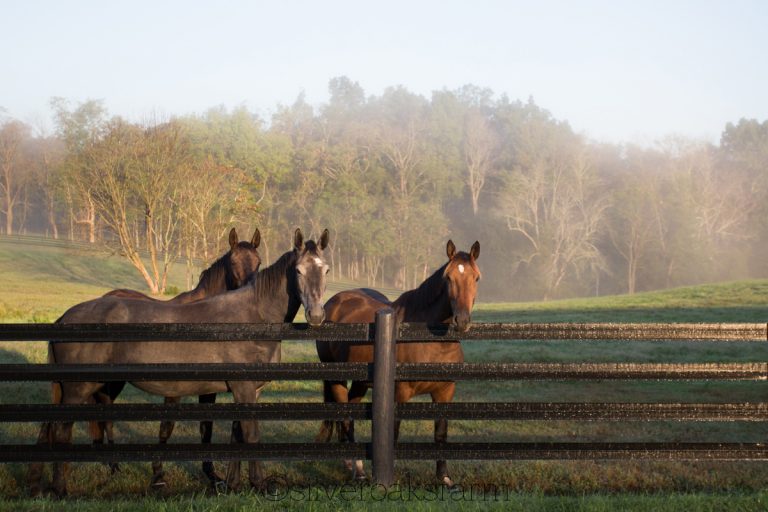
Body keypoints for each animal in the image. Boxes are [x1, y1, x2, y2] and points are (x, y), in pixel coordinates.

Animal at [36, 228, 330, 496]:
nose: (316, 315)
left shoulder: (247, 390)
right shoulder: (243, 388)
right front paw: (259, 484)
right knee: (62, 431)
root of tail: (64, 318)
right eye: (299, 271)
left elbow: (237, 433)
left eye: (326, 270)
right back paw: (61, 489)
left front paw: (233, 484)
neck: (252, 318)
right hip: (78, 389)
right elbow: (251, 434)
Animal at [316, 240, 476, 488]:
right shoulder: (400, 392)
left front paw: (445, 478)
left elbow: (441, 433)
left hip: (361, 382)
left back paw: (353, 465)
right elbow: (395, 431)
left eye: (476, 278)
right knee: (345, 415)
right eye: (448, 277)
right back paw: (357, 471)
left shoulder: (445, 392)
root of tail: (335, 301)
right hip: (336, 377)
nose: (462, 321)